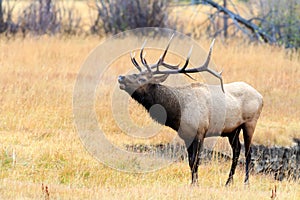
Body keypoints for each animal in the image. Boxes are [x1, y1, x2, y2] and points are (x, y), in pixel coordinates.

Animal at [117, 36, 262, 186]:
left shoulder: (200, 132)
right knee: (237, 151)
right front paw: (193, 183)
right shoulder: (186, 135)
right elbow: (190, 162)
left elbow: (196, 161)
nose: (120, 77)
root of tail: (260, 96)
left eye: (142, 78)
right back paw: (228, 182)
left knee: (248, 153)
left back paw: (246, 182)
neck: (178, 112)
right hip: (232, 130)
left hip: (250, 123)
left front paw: (195, 184)